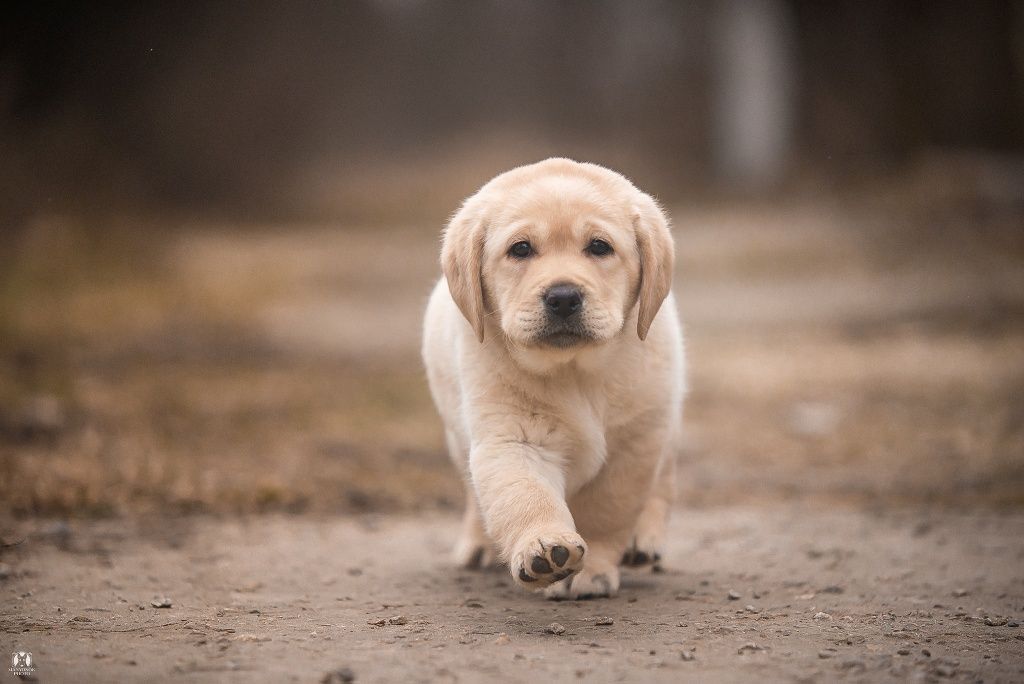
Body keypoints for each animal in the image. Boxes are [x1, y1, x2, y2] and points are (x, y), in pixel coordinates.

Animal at [419, 158, 684, 597]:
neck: (573, 369)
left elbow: (606, 512)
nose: (562, 297)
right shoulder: (512, 438)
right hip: (457, 434)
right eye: (521, 249)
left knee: (663, 482)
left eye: (599, 247)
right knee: (474, 493)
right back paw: (478, 544)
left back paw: (645, 540)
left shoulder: (634, 446)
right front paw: (544, 549)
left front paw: (593, 570)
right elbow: (526, 496)